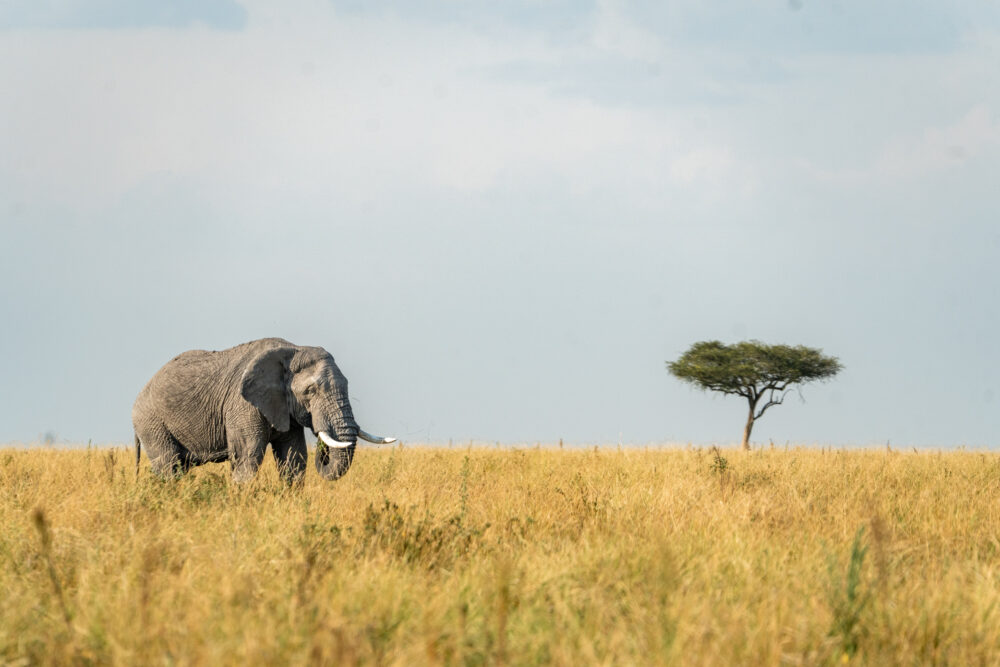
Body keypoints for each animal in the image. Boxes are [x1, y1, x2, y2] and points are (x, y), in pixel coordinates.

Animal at [132, 337, 395, 483]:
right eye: (311, 391)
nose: (323, 451)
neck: (293, 350)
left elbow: (294, 457)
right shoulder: (243, 405)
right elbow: (248, 455)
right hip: (151, 422)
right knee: (169, 467)